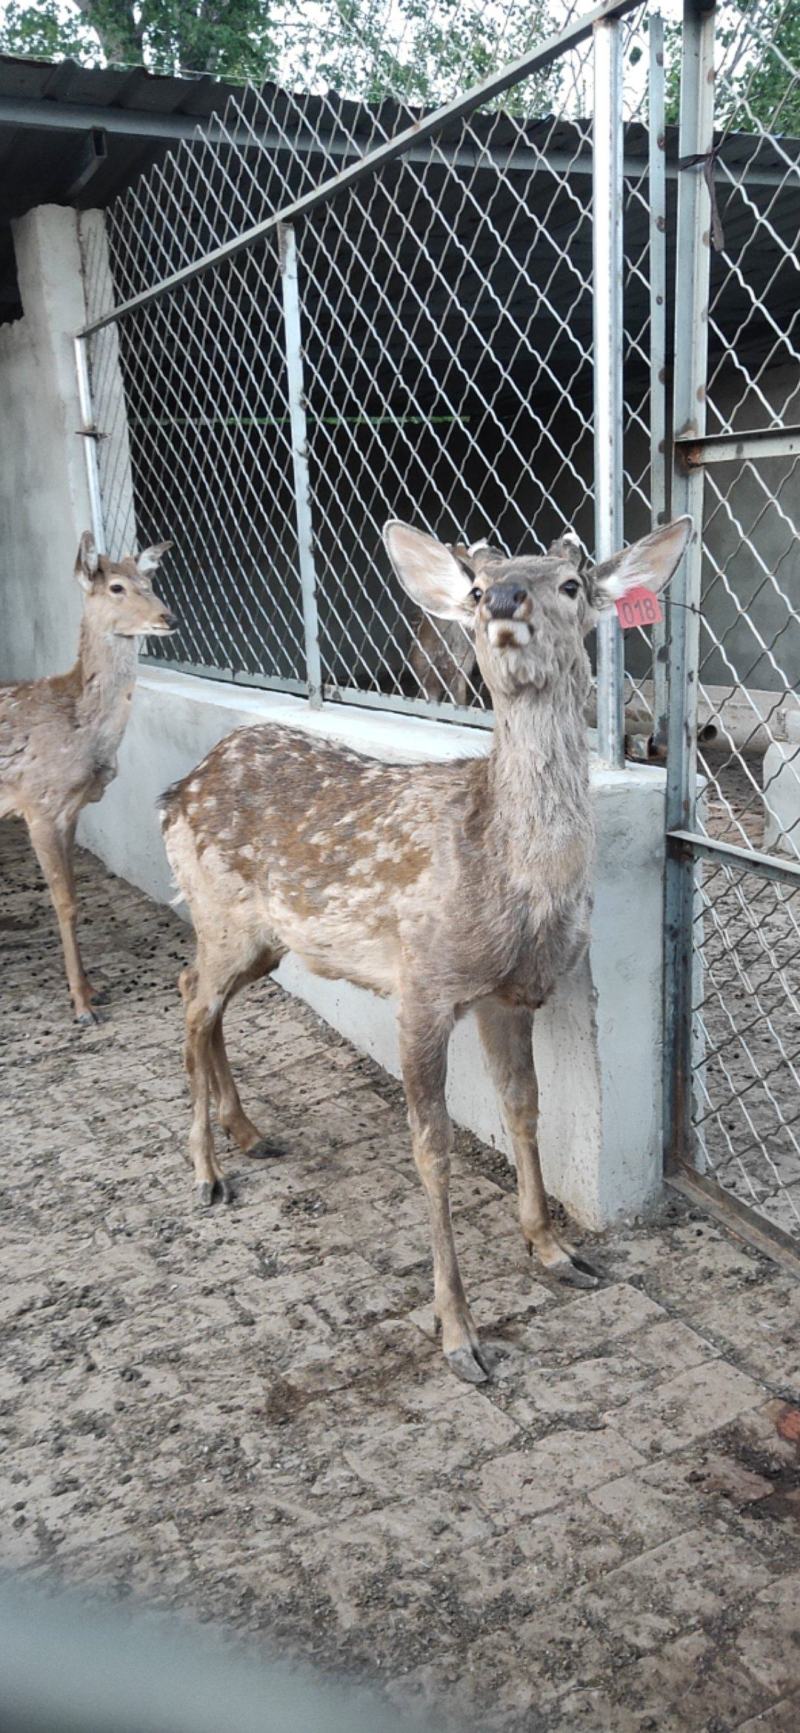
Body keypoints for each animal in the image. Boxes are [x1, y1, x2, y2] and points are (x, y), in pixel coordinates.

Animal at [0, 531, 176, 1024]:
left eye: (149, 581)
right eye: (116, 587)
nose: (168, 618)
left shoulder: (71, 811)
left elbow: (77, 896)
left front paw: (93, 990)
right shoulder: (37, 804)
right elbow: (65, 902)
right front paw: (81, 1004)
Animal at [161, 513, 690, 1384]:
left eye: (570, 583)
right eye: (476, 588)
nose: (504, 600)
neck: (507, 877)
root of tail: (177, 789)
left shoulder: (512, 995)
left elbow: (525, 1107)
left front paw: (553, 1248)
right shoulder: (422, 984)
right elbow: (432, 1148)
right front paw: (458, 1332)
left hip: (263, 939)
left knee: (197, 997)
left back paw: (248, 1132)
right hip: (220, 910)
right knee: (190, 1000)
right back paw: (206, 1171)